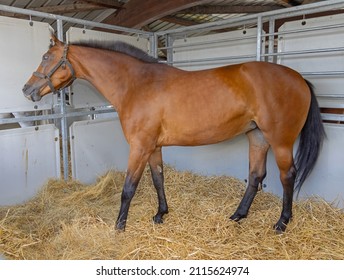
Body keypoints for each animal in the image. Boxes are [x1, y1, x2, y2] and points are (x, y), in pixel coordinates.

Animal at [22, 35, 326, 232]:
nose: (27, 90)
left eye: (47, 57)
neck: (137, 84)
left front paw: (119, 227)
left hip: (280, 141)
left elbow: (128, 188)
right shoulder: (153, 147)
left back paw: (282, 223)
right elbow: (158, 179)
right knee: (255, 176)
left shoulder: (140, 147)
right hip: (258, 137)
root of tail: (298, 78)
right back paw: (238, 216)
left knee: (287, 176)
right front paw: (160, 214)